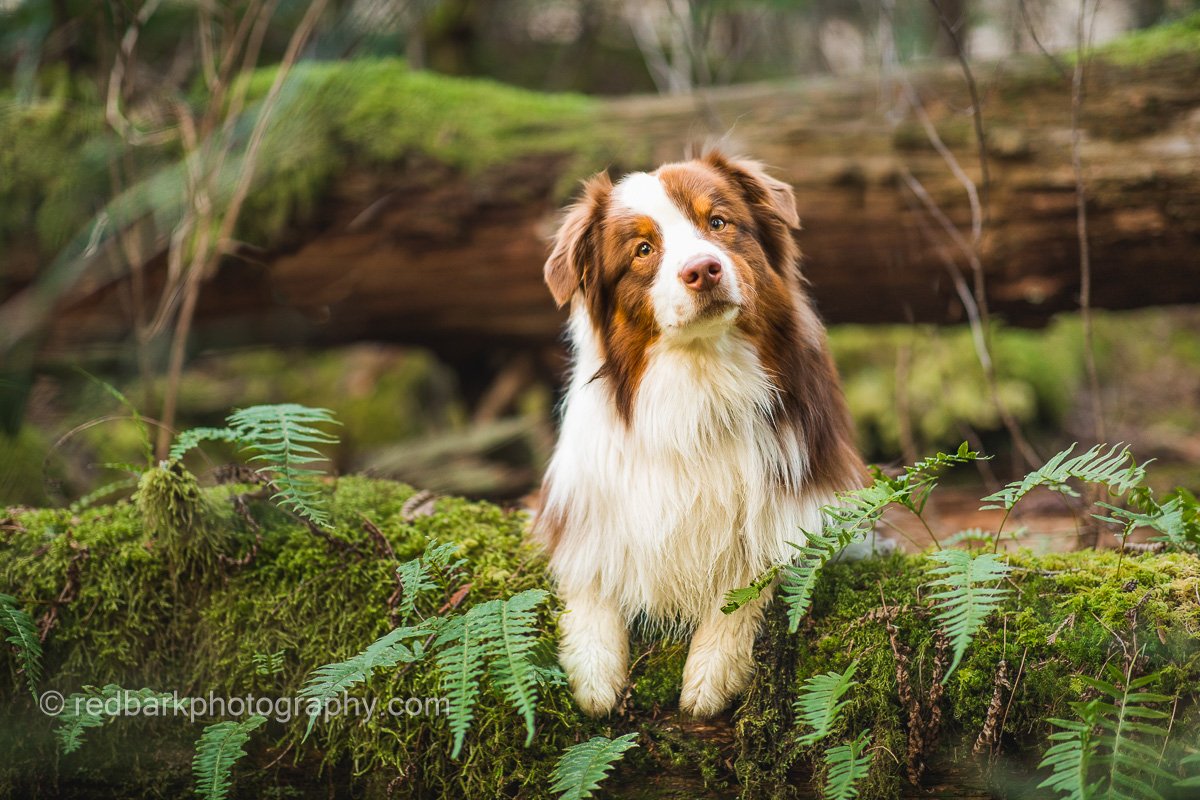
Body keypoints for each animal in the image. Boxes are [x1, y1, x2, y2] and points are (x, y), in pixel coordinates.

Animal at [532, 151, 864, 719]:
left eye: (719, 222)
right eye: (643, 250)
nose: (702, 269)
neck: (701, 380)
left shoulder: (806, 498)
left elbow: (753, 573)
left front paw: (712, 668)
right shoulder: (582, 500)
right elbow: (589, 568)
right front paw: (595, 670)